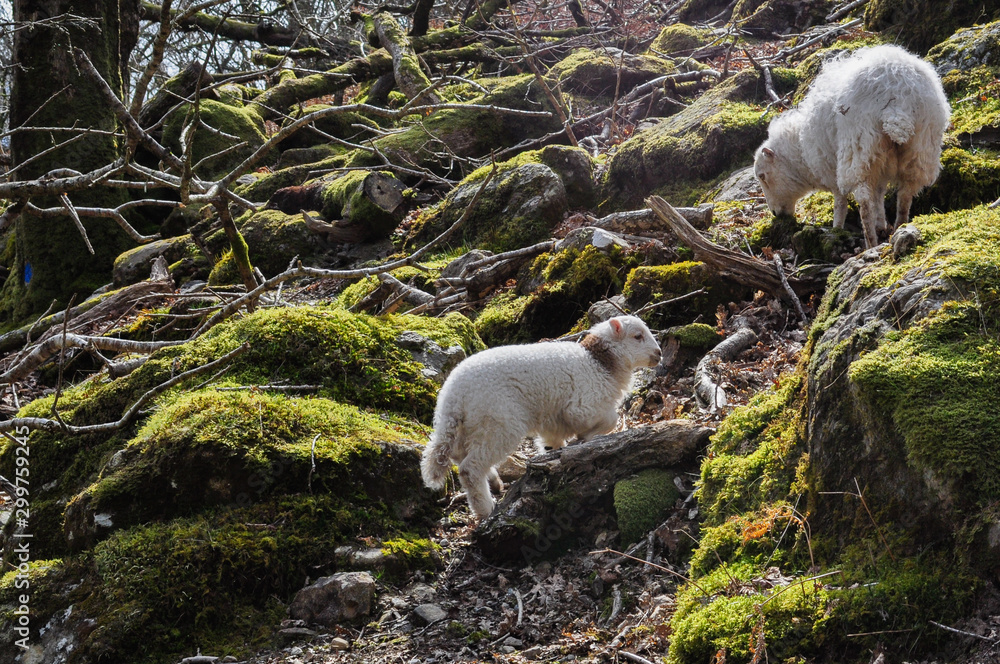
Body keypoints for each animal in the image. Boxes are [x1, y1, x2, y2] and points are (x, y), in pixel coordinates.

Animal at [421, 315, 662, 519]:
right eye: (638, 336)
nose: (659, 353)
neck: (600, 363)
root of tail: (452, 397)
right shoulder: (583, 404)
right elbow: (610, 419)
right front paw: (584, 439)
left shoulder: (553, 417)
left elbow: (553, 438)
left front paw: (555, 451)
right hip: (499, 422)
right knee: (469, 468)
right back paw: (485, 508)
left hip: (469, 426)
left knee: (460, 455)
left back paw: (494, 482)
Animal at [753, 44, 950, 249]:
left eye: (762, 176)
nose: (775, 214)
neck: (800, 150)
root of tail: (897, 93)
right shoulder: (880, 164)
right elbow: (878, 194)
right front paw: (881, 223)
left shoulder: (832, 172)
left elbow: (841, 203)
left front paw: (837, 228)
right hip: (921, 145)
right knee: (905, 194)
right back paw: (899, 227)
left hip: (858, 145)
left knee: (864, 200)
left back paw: (870, 241)